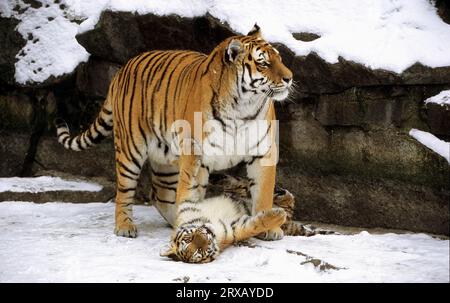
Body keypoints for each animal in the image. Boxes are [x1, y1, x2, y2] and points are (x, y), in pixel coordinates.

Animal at [56, 25, 294, 241]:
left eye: (280, 58)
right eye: (263, 63)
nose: (290, 78)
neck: (242, 107)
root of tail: (122, 69)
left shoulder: (262, 151)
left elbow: (263, 192)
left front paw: (270, 228)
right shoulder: (196, 154)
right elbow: (191, 192)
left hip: (167, 160)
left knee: (160, 195)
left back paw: (175, 220)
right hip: (130, 150)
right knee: (124, 191)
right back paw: (125, 226)